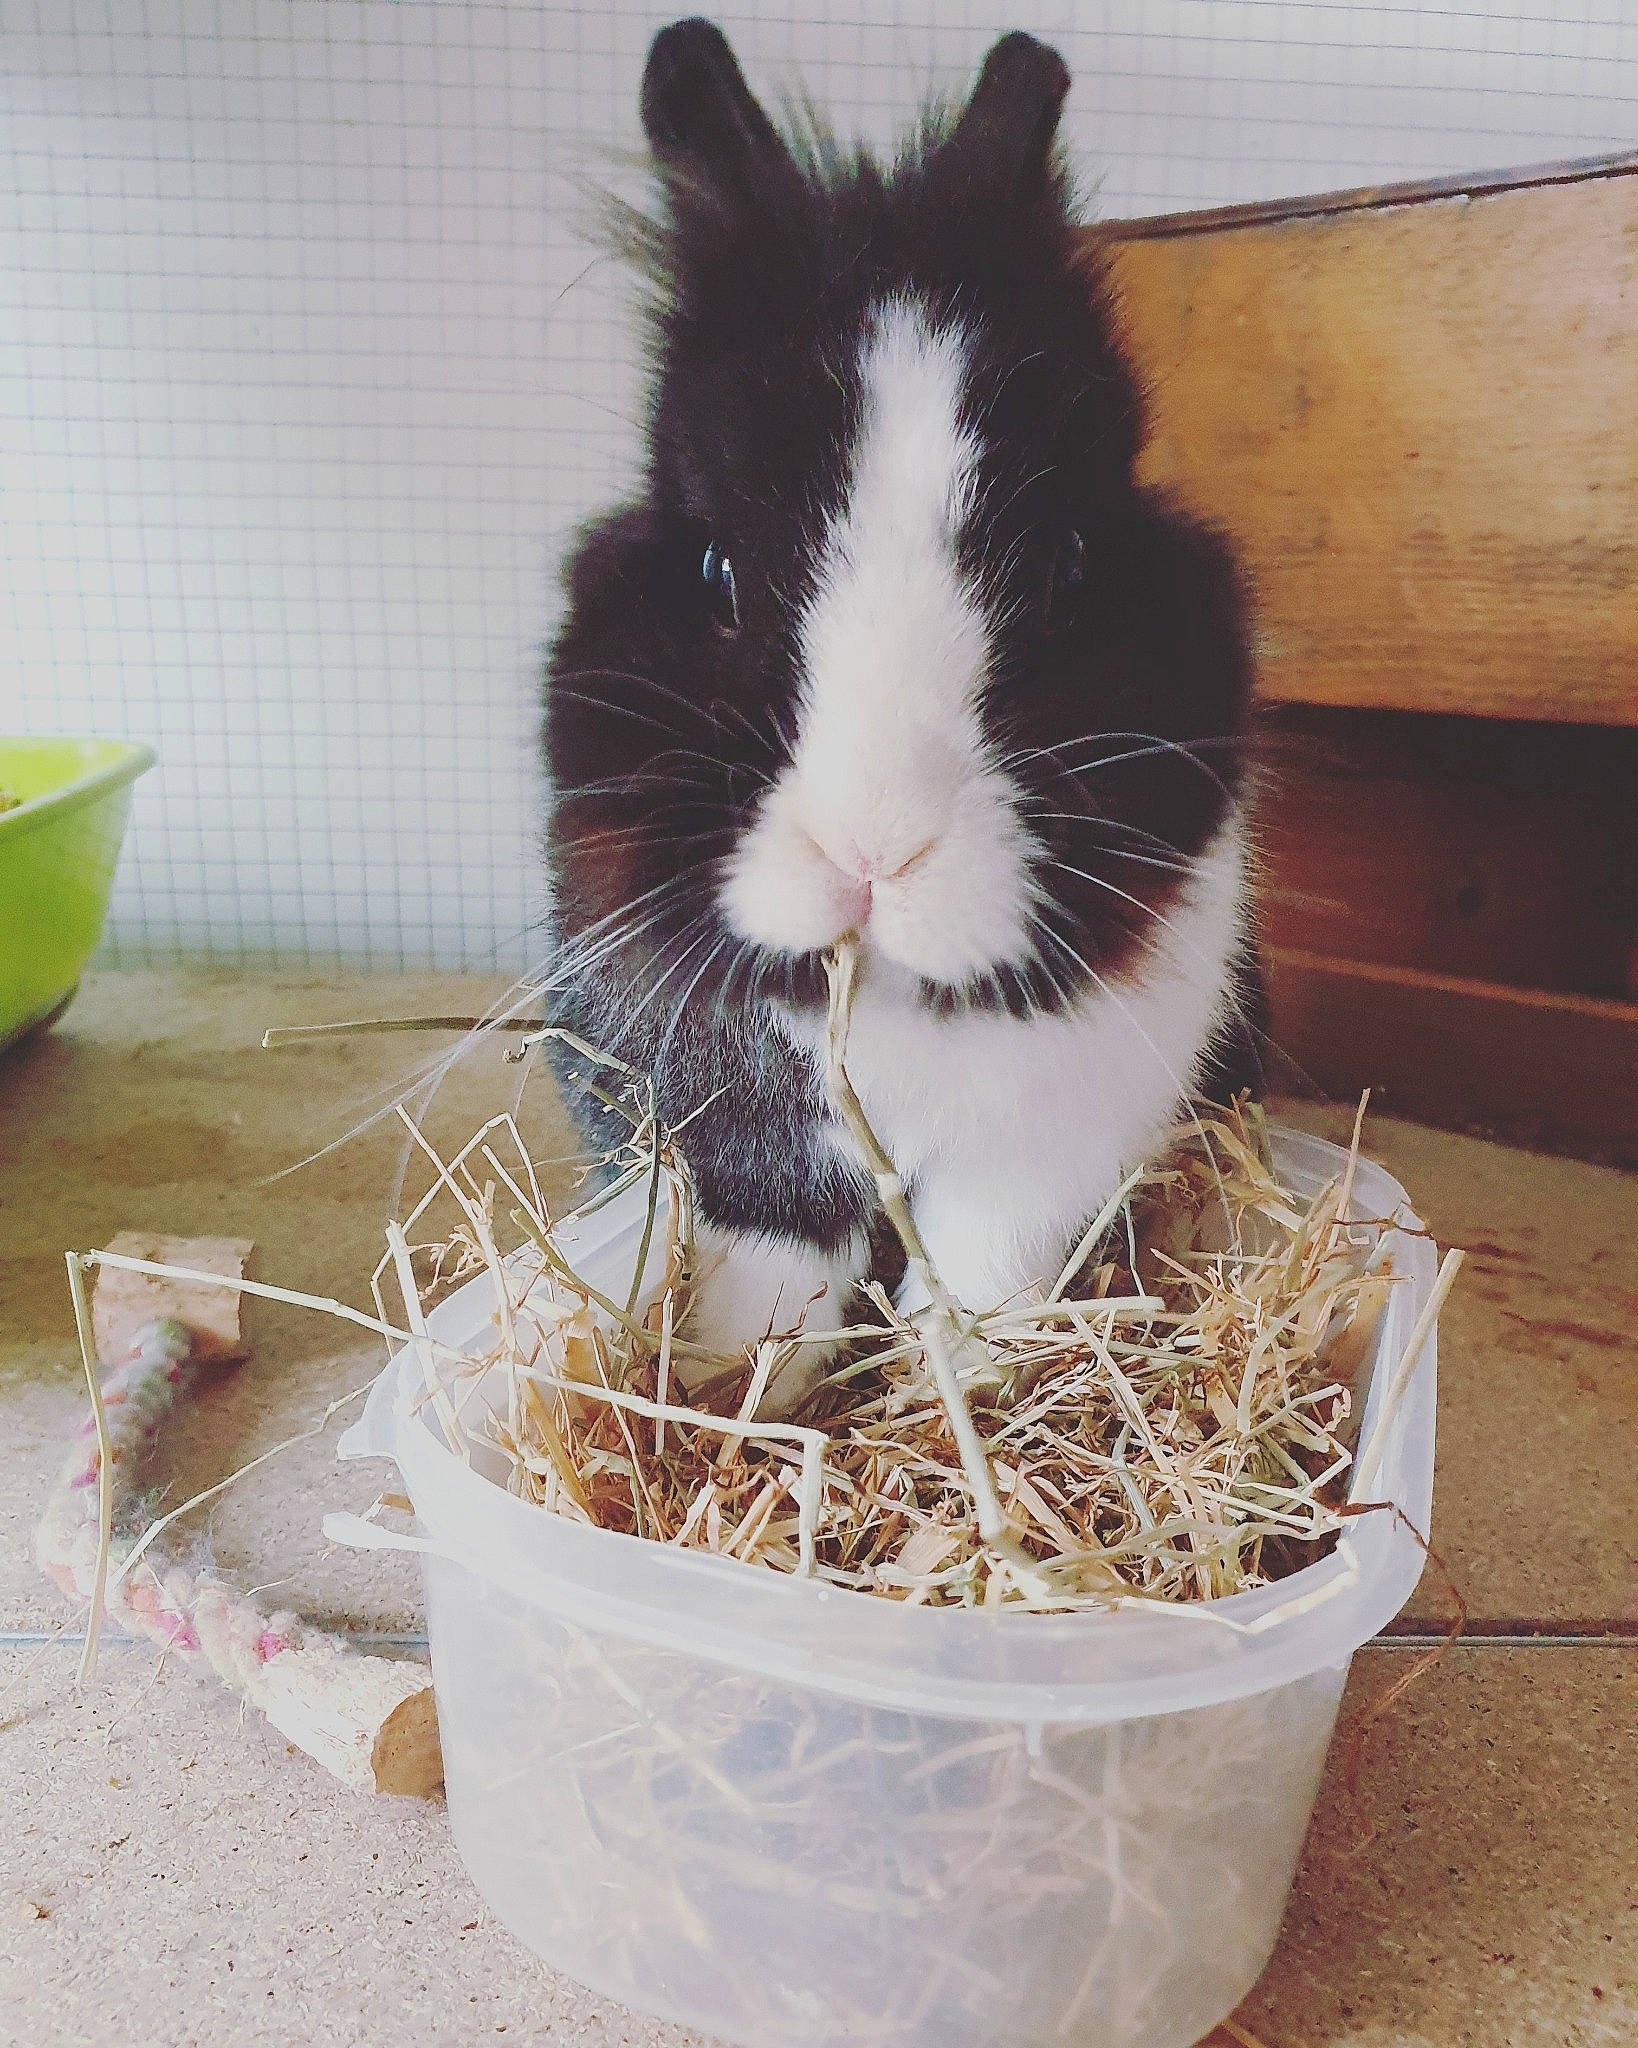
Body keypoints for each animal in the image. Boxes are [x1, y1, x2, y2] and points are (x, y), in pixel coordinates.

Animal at [542, 19, 1264, 1401]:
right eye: (713, 565)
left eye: (1064, 565)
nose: (872, 849)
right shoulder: (745, 1134)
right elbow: (771, 1259)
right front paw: (741, 1391)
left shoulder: (1049, 1145)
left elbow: (980, 1270)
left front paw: (950, 1394)